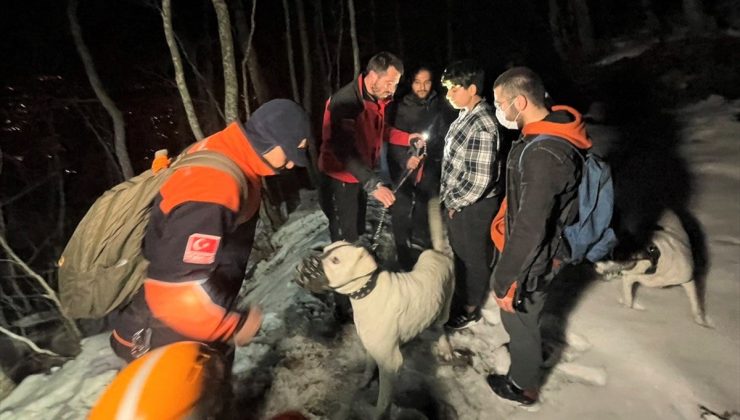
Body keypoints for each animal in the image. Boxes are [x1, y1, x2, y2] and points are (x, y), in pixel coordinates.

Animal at [298, 199, 454, 418]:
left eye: (336, 260)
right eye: (326, 249)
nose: (305, 262)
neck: (366, 292)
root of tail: (439, 252)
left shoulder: (390, 363)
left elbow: (383, 403)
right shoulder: (371, 346)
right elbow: (368, 366)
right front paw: (364, 382)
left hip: (445, 305)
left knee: (442, 328)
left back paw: (445, 347)